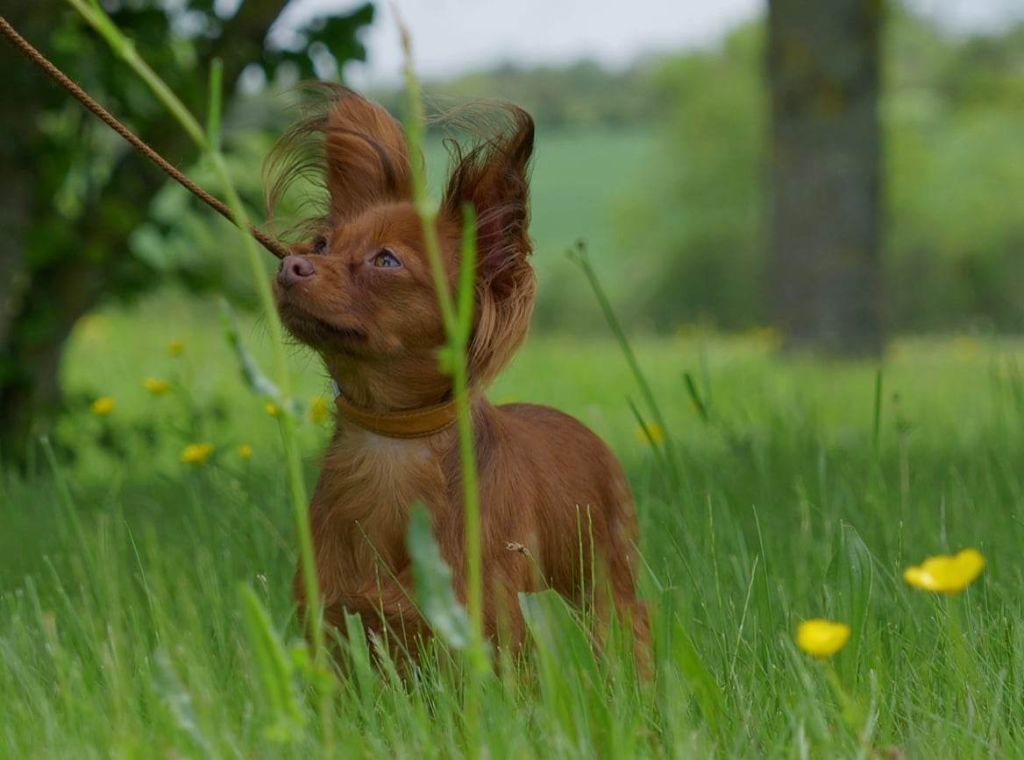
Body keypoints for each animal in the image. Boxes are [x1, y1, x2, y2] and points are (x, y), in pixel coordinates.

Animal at [268, 87, 643, 659]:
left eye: (386, 261)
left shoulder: (494, 637)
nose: (289, 267)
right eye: (321, 246)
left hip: (608, 592)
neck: (392, 441)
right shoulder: (334, 633)